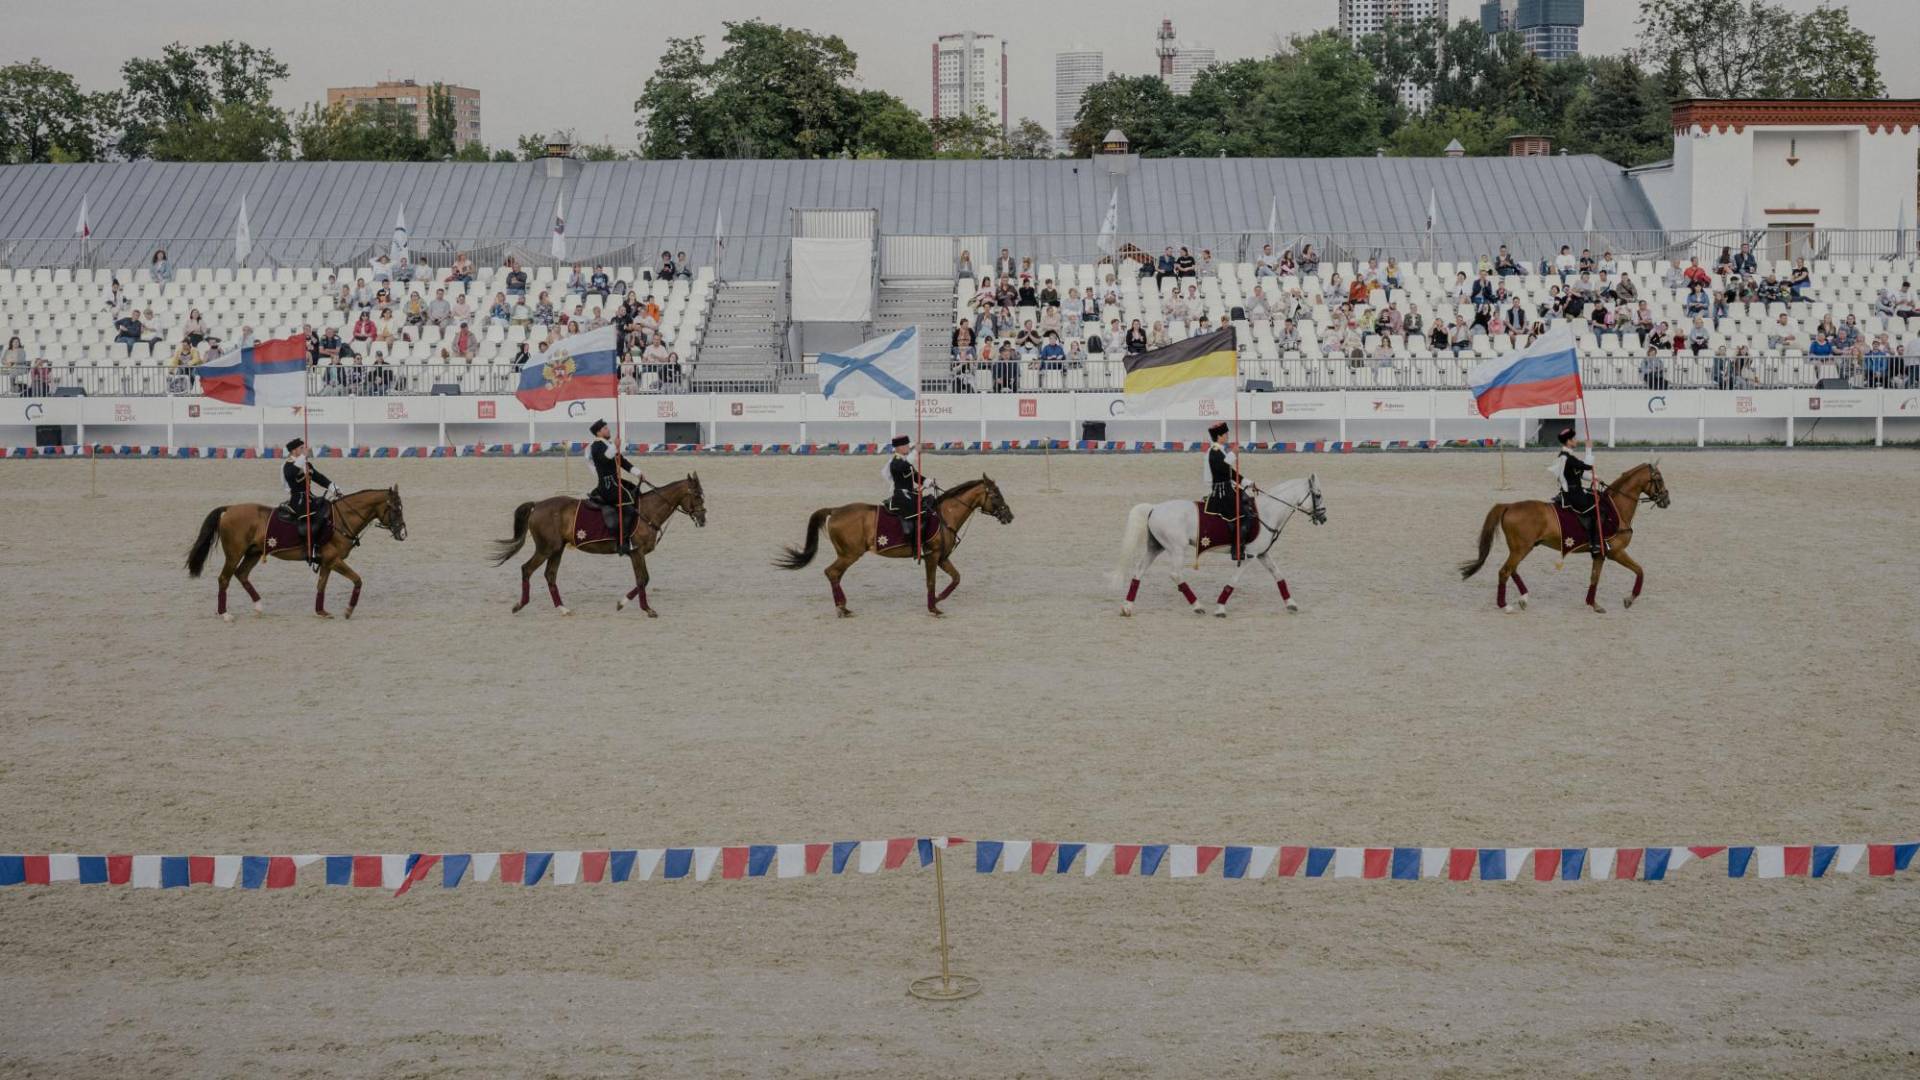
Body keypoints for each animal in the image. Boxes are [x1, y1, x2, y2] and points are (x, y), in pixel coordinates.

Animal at [183, 484, 408, 618]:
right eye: (395, 509)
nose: (403, 533)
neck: (340, 519)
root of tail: (229, 509)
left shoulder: (327, 562)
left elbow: (321, 585)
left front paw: (321, 611)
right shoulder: (334, 560)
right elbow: (357, 580)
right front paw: (348, 610)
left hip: (253, 553)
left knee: (242, 574)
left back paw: (259, 606)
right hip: (234, 554)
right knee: (224, 579)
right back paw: (225, 614)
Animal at [491, 472, 710, 614]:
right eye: (696, 495)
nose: (703, 519)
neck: (647, 511)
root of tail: (537, 506)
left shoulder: (636, 554)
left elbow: (642, 580)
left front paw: (623, 604)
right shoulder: (636, 552)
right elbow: (643, 579)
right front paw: (645, 608)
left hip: (557, 549)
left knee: (550, 575)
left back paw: (562, 608)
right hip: (546, 549)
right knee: (527, 569)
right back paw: (519, 605)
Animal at [775, 472, 1021, 614]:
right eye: (996, 495)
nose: (1009, 516)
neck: (945, 515)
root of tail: (835, 510)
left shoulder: (943, 557)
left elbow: (956, 578)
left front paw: (938, 599)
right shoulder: (933, 556)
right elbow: (931, 581)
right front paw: (933, 607)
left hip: (846, 555)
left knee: (835, 575)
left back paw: (843, 605)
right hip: (850, 554)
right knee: (832, 573)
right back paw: (842, 608)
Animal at [1121, 470, 1328, 614]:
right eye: (1317, 495)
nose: (1323, 518)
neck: (1267, 512)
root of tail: (1154, 508)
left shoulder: (1262, 553)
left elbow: (1279, 576)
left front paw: (1291, 604)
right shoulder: (1250, 556)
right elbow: (1234, 581)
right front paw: (1220, 608)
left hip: (1156, 546)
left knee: (1139, 571)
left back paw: (1127, 607)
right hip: (1176, 548)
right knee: (1175, 574)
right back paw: (1197, 605)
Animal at [1459, 455, 1674, 614]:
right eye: (1659, 479)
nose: (1666, 500)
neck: (1617, 508)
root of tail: (1509, 506)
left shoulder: (1600, 554)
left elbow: (1594, 578)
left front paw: (1593, 604)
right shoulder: (1616, 552)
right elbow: (1640, 571)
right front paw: (1629, 599)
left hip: (1522, 548)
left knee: (1512, 570)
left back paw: (1524, 598)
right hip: (1521, 548)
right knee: (1504, 571)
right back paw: (1506, 606)